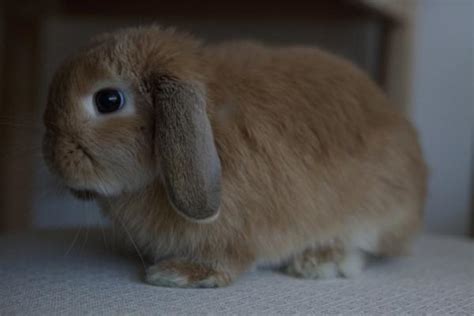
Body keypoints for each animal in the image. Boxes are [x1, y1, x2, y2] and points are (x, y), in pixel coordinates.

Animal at [42, 25, 428, 288]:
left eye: (108, 100)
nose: (51, 156)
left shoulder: (236, 233)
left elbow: (228, 260)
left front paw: (176, 274)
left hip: (373, 213)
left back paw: (319, 262)